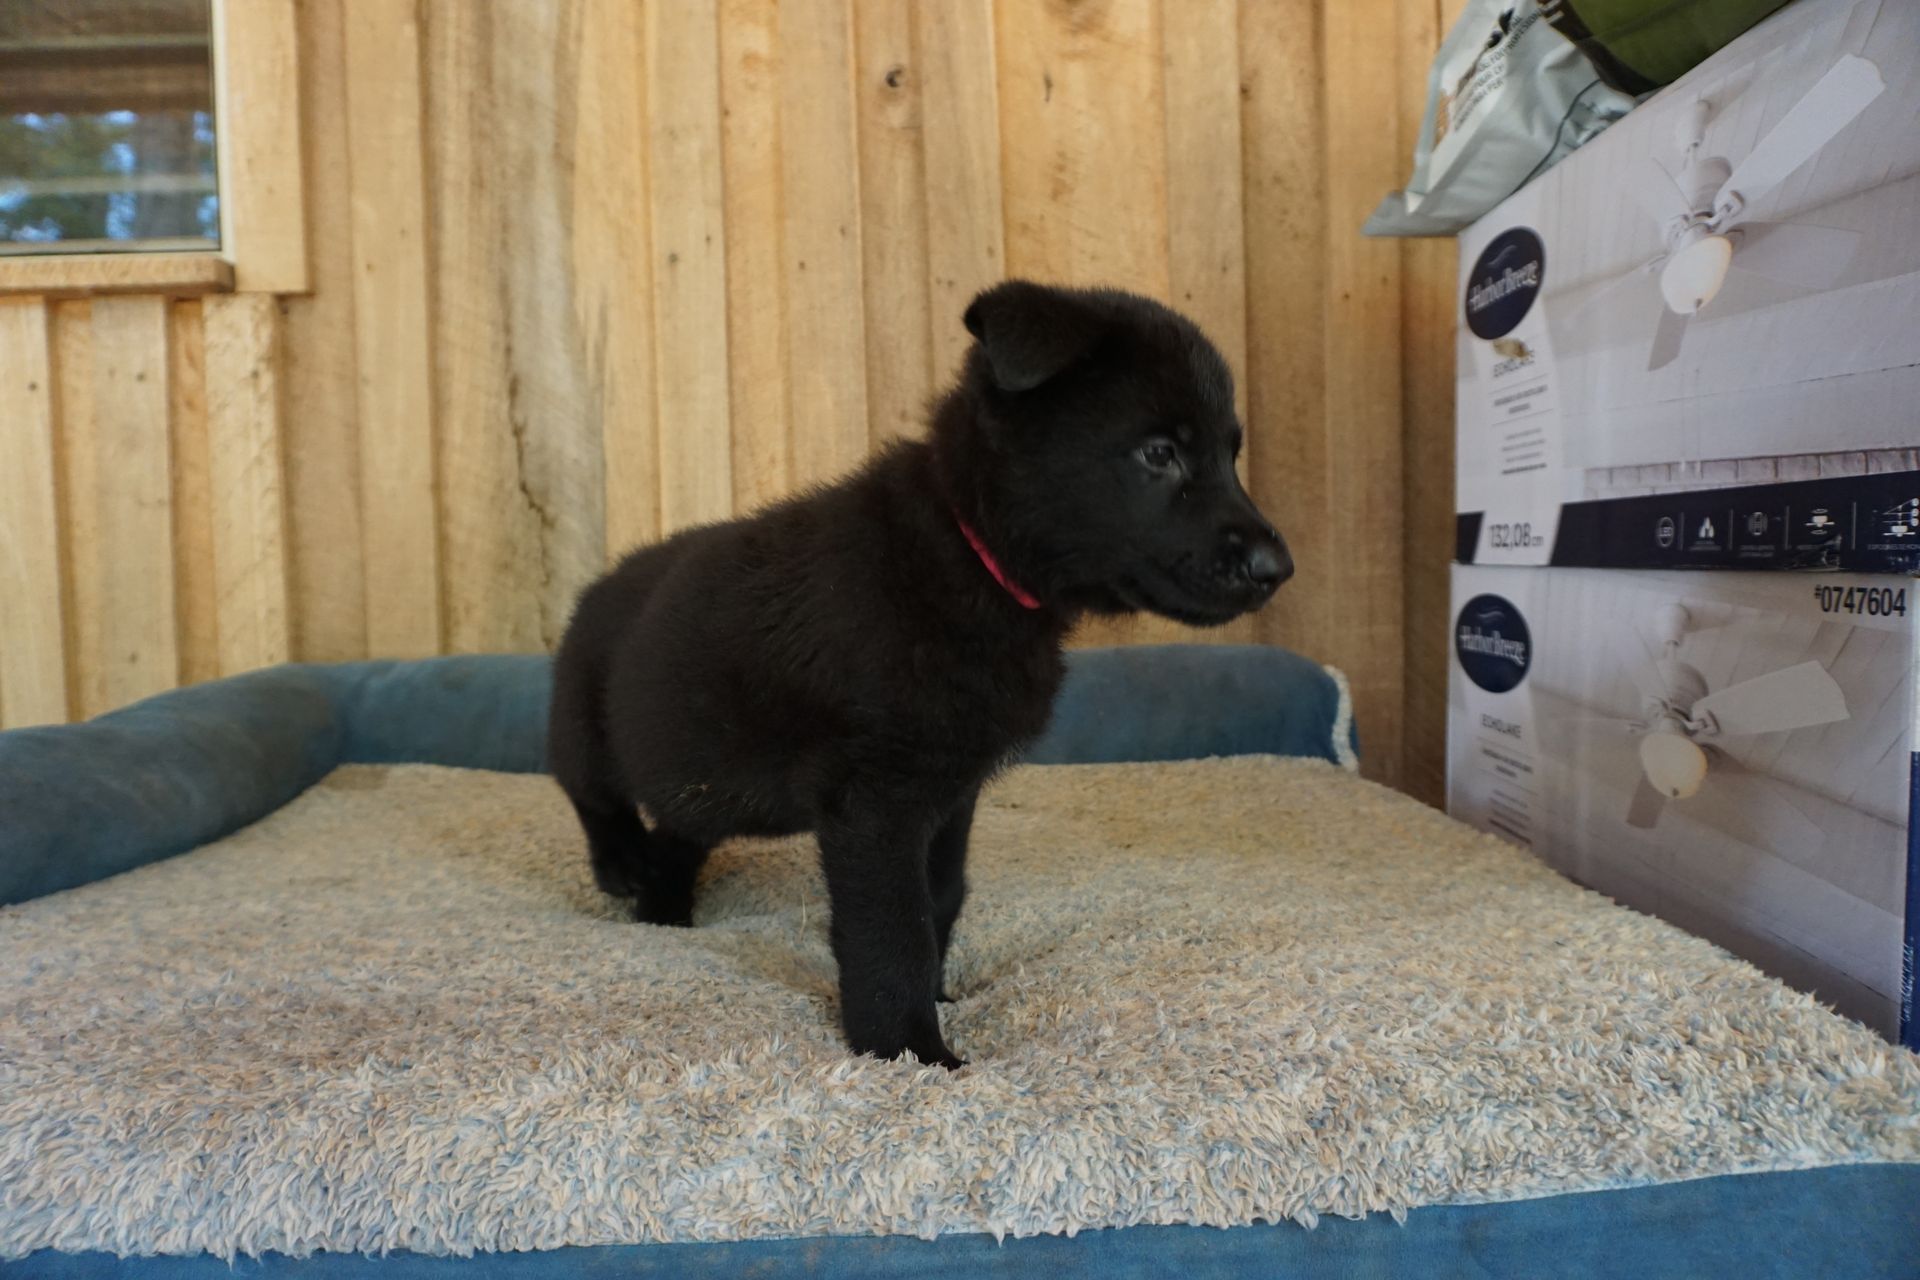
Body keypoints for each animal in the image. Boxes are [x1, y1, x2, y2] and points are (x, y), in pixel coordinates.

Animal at [549, 282, 1290, 1074]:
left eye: (1230, 454)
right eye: (1160, 453)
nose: (1278, 568)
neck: (969, 552)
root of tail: (597, 588)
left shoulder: (949, 793)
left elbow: (940, 899)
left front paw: (937, 998)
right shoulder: (876, 805)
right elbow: (892, 930)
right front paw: (908, 1049)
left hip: (701, 783)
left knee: (678, 835)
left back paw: (664, 911)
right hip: (587, 729)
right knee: (593, 795)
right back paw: (622, 867)